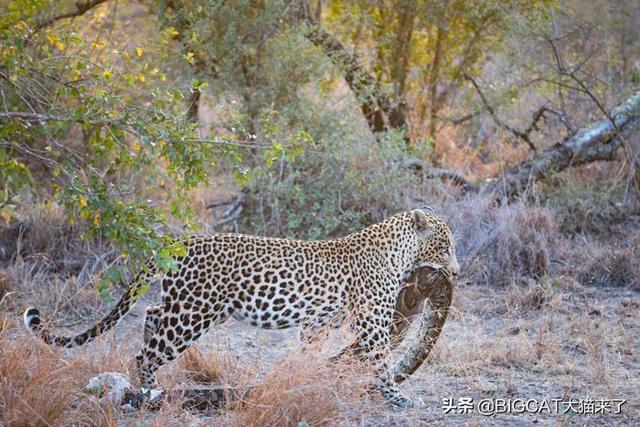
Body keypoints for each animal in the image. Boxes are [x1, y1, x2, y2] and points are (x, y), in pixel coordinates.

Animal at [23, 209, 456, 410]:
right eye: (447, 243)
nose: (456, 269)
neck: (400, 251)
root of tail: (180, 241)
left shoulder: (317, 322)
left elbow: (306, 351)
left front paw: (297, 379)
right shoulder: (372, 323)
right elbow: (382, 362)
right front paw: (398, 399)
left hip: (187, 305)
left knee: (149, 317)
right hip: (194, 313)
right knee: (144, 353)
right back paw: (147, 392)